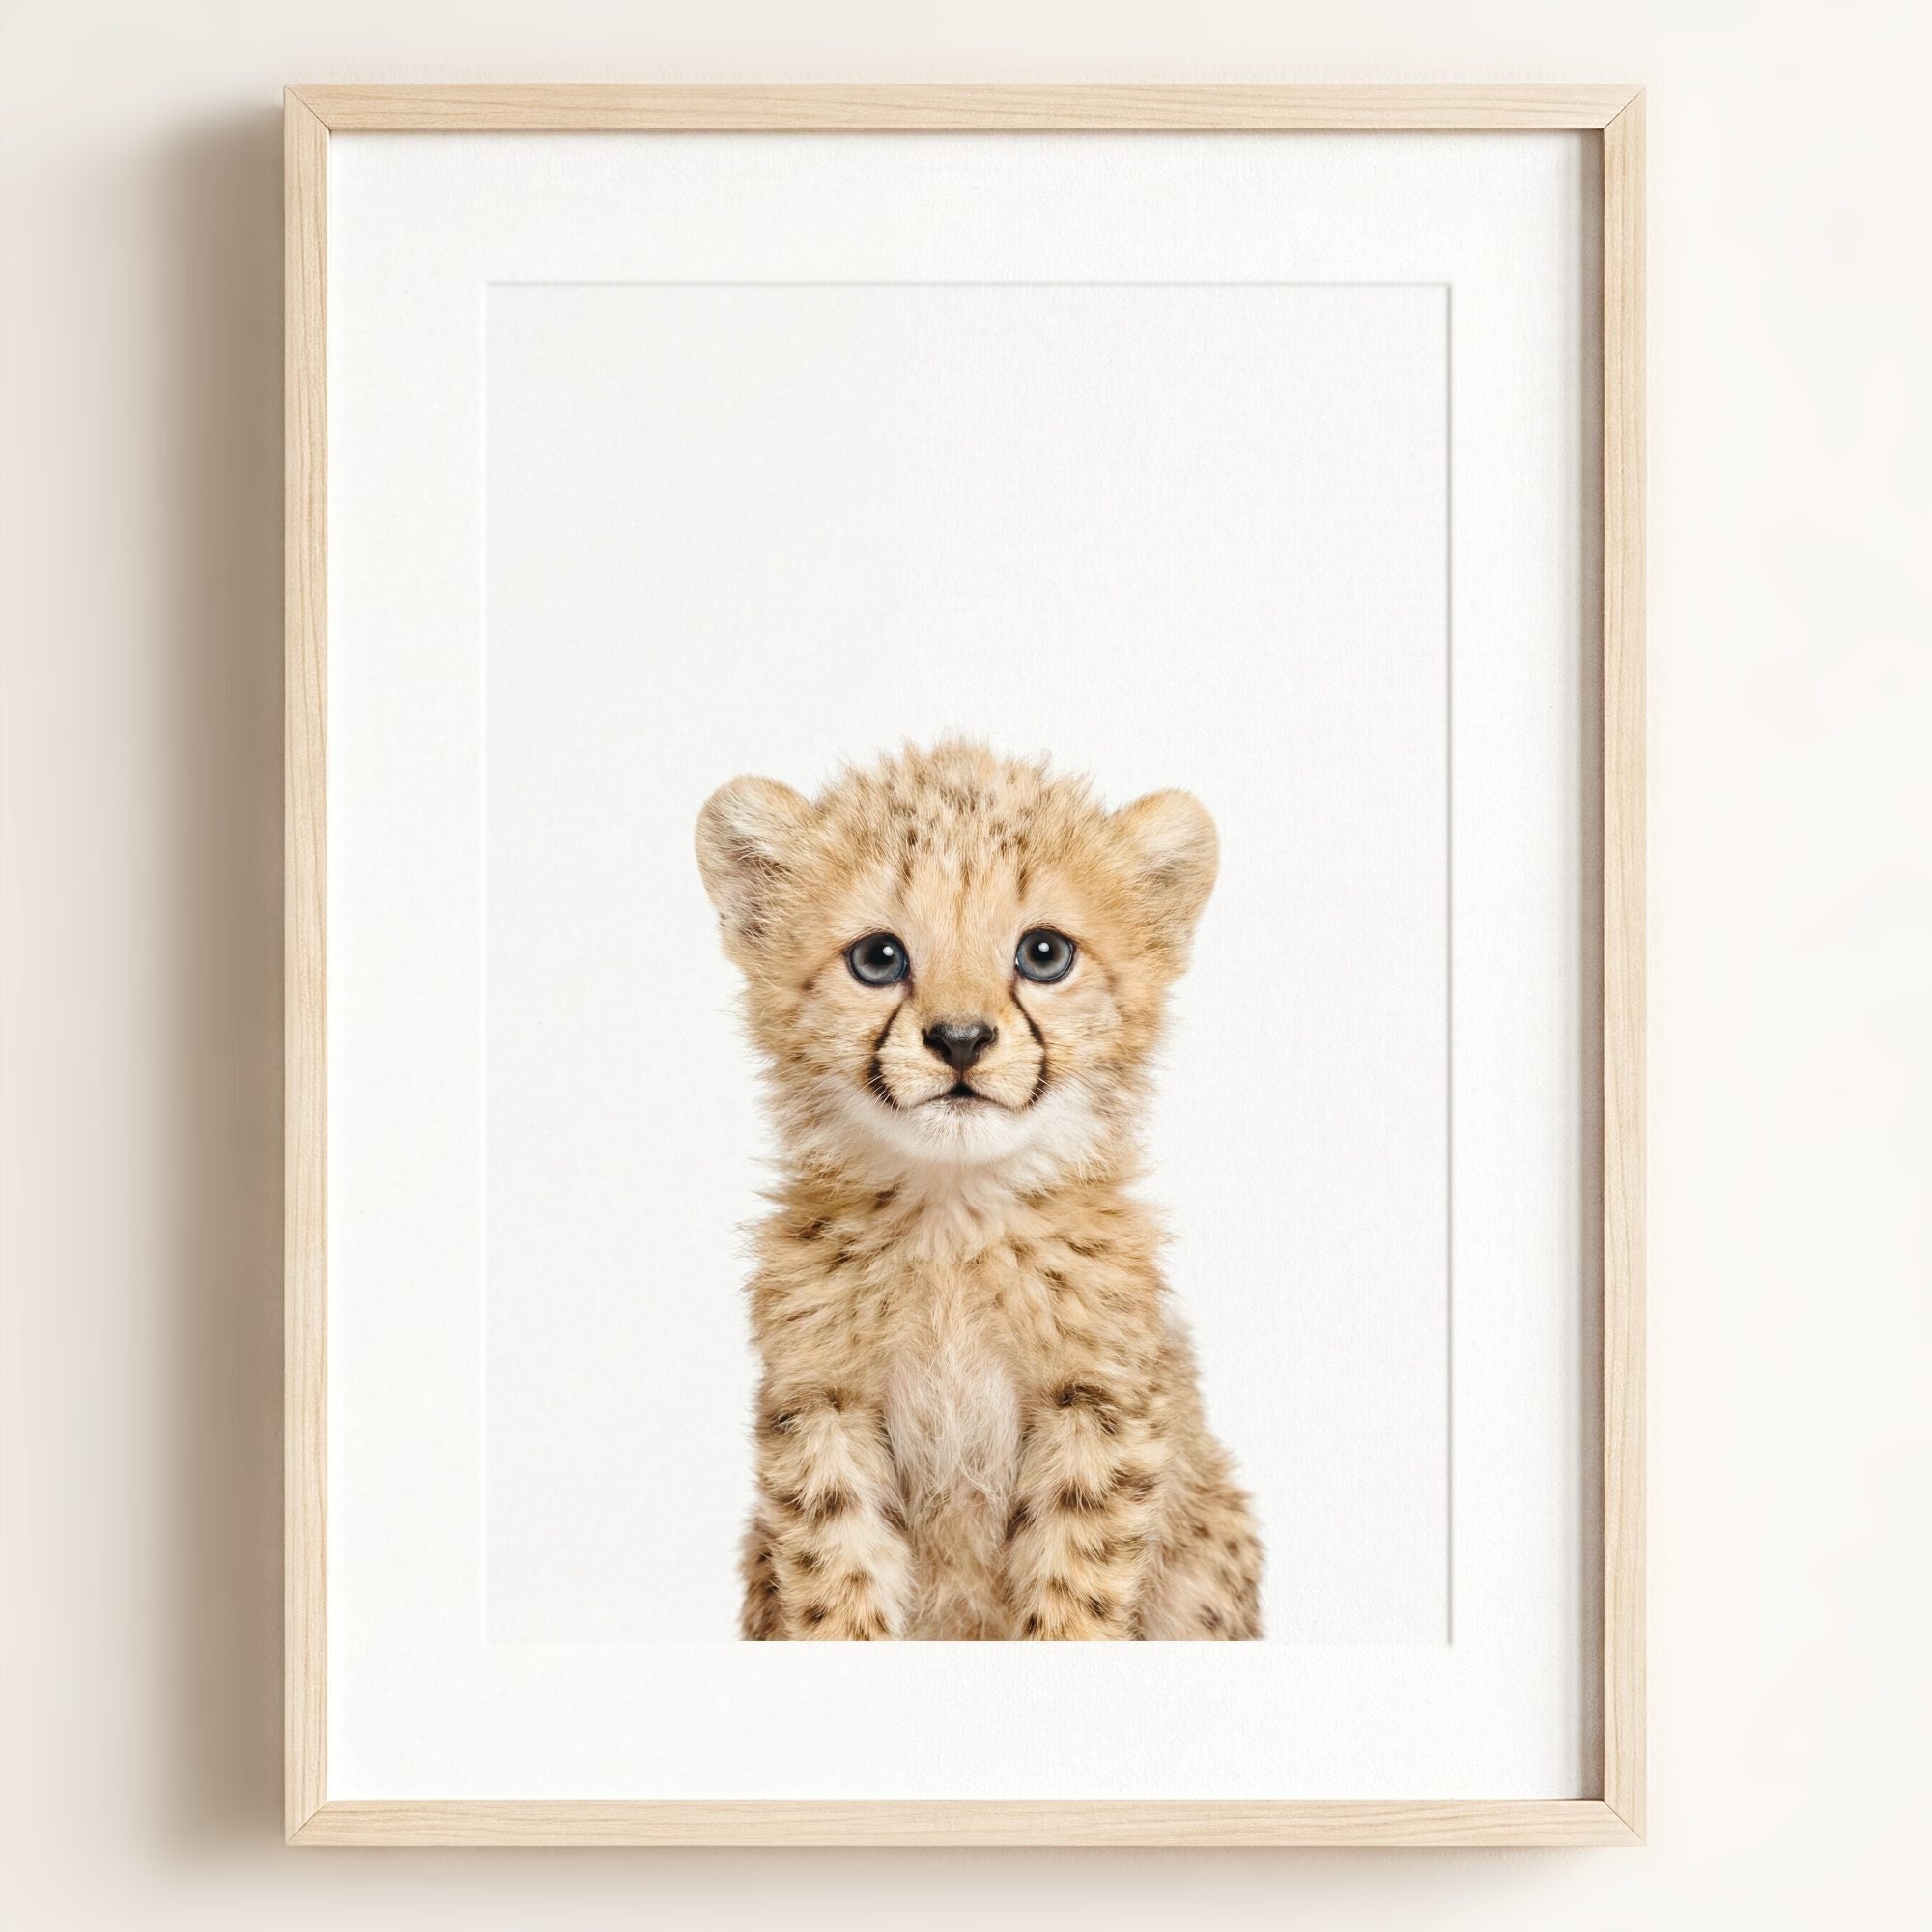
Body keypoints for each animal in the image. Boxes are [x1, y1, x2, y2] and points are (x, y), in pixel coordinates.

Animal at [696, 739, 1262, 1639]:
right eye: (878, 958)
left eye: (1044, 954)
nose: (960, 1039)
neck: (953, 1218)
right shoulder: (823, 1406)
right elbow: (836, 1580)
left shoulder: (1097, 1406)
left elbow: (1074, 1587)